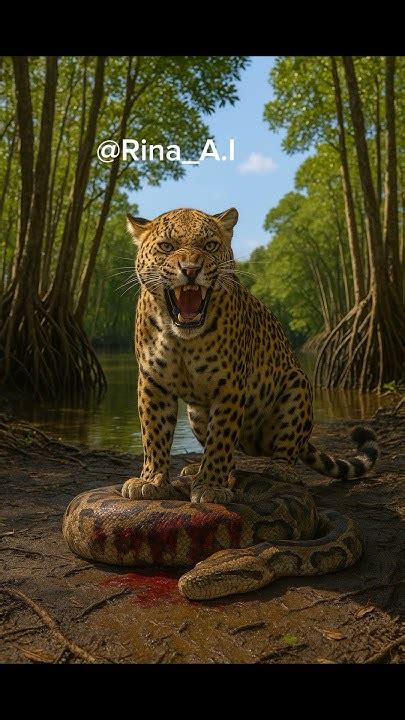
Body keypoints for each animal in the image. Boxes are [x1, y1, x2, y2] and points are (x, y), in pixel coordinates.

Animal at [122, 207, 378, 505]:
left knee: (282, 449)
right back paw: (197, 468)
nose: (191, 270)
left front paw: (210, 486)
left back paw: (279, 470)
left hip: (297, 386)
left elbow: (220, 440)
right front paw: (150, 480)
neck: (184, 339)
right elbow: (154, 435)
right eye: (166, 246)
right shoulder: (153, 382)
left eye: (210, 246)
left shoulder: (230, 385)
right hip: (196, 412)